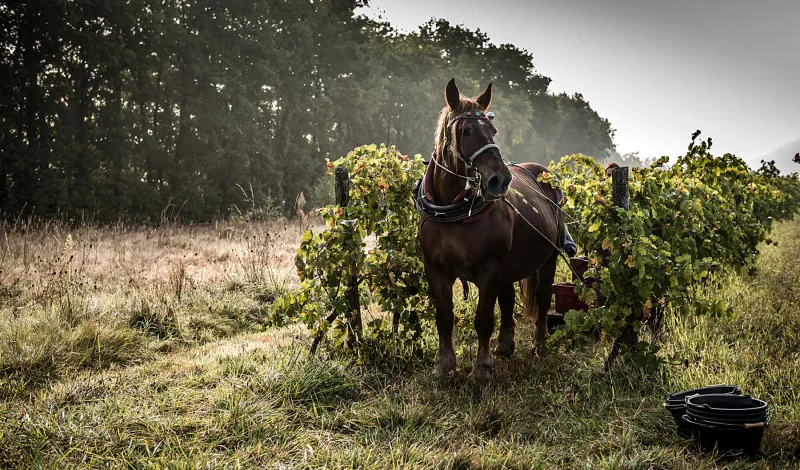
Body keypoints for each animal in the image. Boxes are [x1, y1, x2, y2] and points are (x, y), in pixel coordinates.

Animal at [416, 79, 564, 380]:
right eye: (464, 131)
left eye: (493, 131)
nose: (500, 180)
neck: (453, 213)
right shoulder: (434, 269)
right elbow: (444, 318)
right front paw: (445, 365)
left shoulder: (489, 269)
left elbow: (484, 319)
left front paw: (482, 368)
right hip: (509, 266)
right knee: (507, 300)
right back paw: (505, 345)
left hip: (549, 257)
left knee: (543, 298)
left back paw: (539, 343)